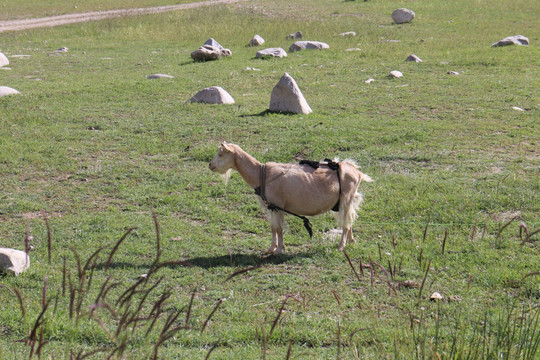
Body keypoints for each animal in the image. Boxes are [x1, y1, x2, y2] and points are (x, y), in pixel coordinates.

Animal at [209, 141, 374, 253]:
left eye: (221, 154)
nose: (210, 165)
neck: (261, 174)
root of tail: (356, 171)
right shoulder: (272, 207)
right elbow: (274, 228)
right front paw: (272, 248)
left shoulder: (277, 206)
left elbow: (279, 228)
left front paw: (279, 249)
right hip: (348, 200)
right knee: (350, 219)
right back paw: (351, 241)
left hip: (346, 199)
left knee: (346, 222)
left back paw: (341, 245)